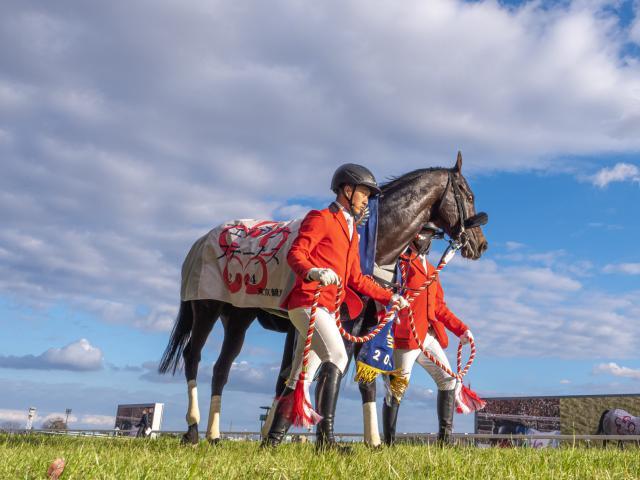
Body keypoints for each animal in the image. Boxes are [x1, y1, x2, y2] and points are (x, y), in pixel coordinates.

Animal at [161, 153, 490, 442]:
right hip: (206, 307)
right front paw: (313, 434)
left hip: (239, 316)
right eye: (468, 194)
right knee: (193, 356)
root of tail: (202, 239)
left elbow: (352, 380)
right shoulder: (332, 320)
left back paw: (215, 435)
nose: (481, 244)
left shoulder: (358, 324)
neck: (372, 242)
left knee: (221, 368)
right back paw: (193, 430)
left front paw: (369, 441)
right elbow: (318, 373)